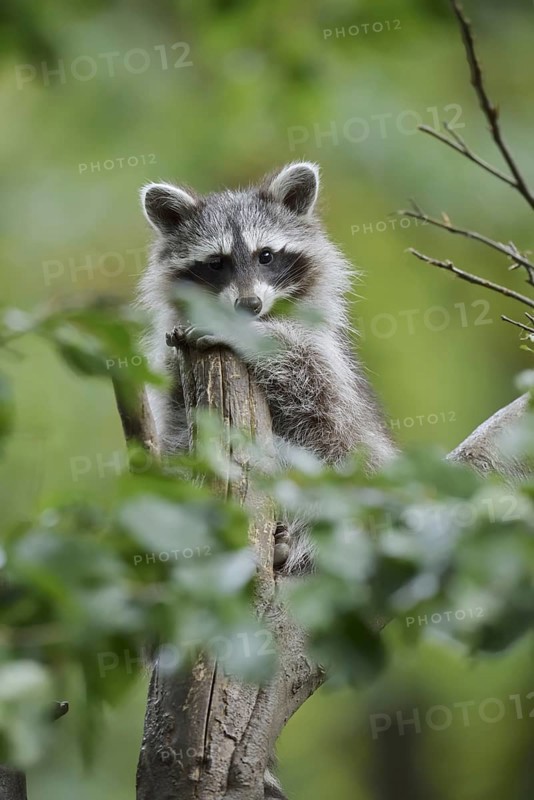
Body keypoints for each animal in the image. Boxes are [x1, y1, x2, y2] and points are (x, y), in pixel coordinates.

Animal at [138, 162, 396, 575]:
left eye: (267, 256)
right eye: (216, 263)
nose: (249, 305)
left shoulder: (326, 358)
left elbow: (317, 392)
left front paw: (248, 334)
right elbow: (176, 423)